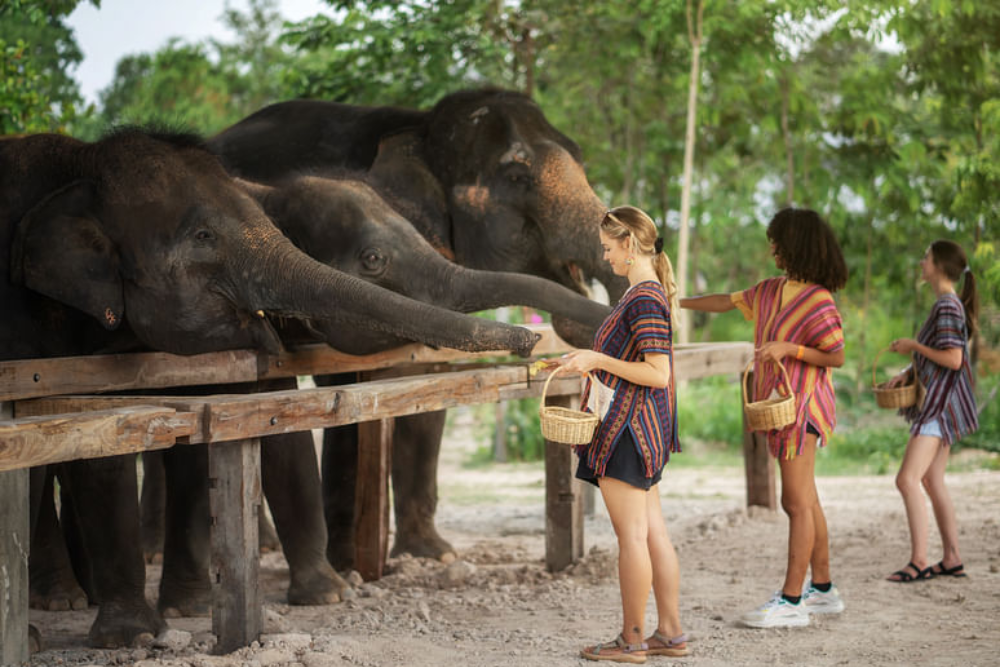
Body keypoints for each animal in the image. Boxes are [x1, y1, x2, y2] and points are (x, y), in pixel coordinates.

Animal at [1, 128, 537, 649]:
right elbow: (97, 449)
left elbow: (270, 432)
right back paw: (58, 606)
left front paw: (325, 595)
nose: (532, 342)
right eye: (373, 259)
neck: (82, 167)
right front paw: (133, 637)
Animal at [208, 88, 627, 567]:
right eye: (518, 176)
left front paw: (434, 554)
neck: (422, 126)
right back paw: (263, 546)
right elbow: (344, 390)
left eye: (581, 158)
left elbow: (428, 391)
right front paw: (348, 567)